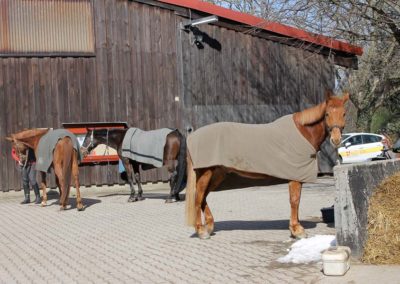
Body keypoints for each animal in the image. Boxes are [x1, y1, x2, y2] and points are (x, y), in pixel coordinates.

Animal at [186, 91, 348, 240]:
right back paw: (201, 231)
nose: (336, 140)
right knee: (198, 197)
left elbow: (297, 200)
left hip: (217, 174)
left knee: (203, 197)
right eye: (327, 114)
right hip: (206, 173)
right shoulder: (294, 176)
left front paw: (295, 227)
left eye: (344, 114)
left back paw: (209, 226)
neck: (302, 132)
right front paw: (297, 230)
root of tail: (192, 137)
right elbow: (294, 200)